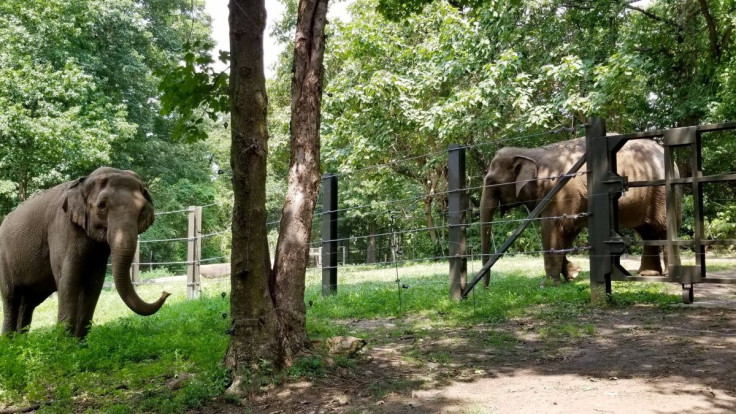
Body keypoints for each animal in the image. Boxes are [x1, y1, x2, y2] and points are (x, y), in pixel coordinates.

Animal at [0, 167, 170, 336]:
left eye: (142, 209)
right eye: (101, 205)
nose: (166, 293)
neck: (83, 182)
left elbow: (94, 281)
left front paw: (79, 342)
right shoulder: (61, 228)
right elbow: (68, 277)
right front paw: (64, 342)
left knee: (28, 301)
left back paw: (20, 339)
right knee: (11, 296)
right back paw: (10, 340)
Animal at [480, 137, 676, 286]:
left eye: (491, 182)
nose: (486, 287)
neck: (530, 152)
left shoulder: (561, 191)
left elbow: (553, 228)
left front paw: (548, 284)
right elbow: (567, 231)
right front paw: (572, 274)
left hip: (663, 192)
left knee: (663, 228)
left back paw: (667, 275)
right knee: (647, 231)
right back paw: (647, 275)